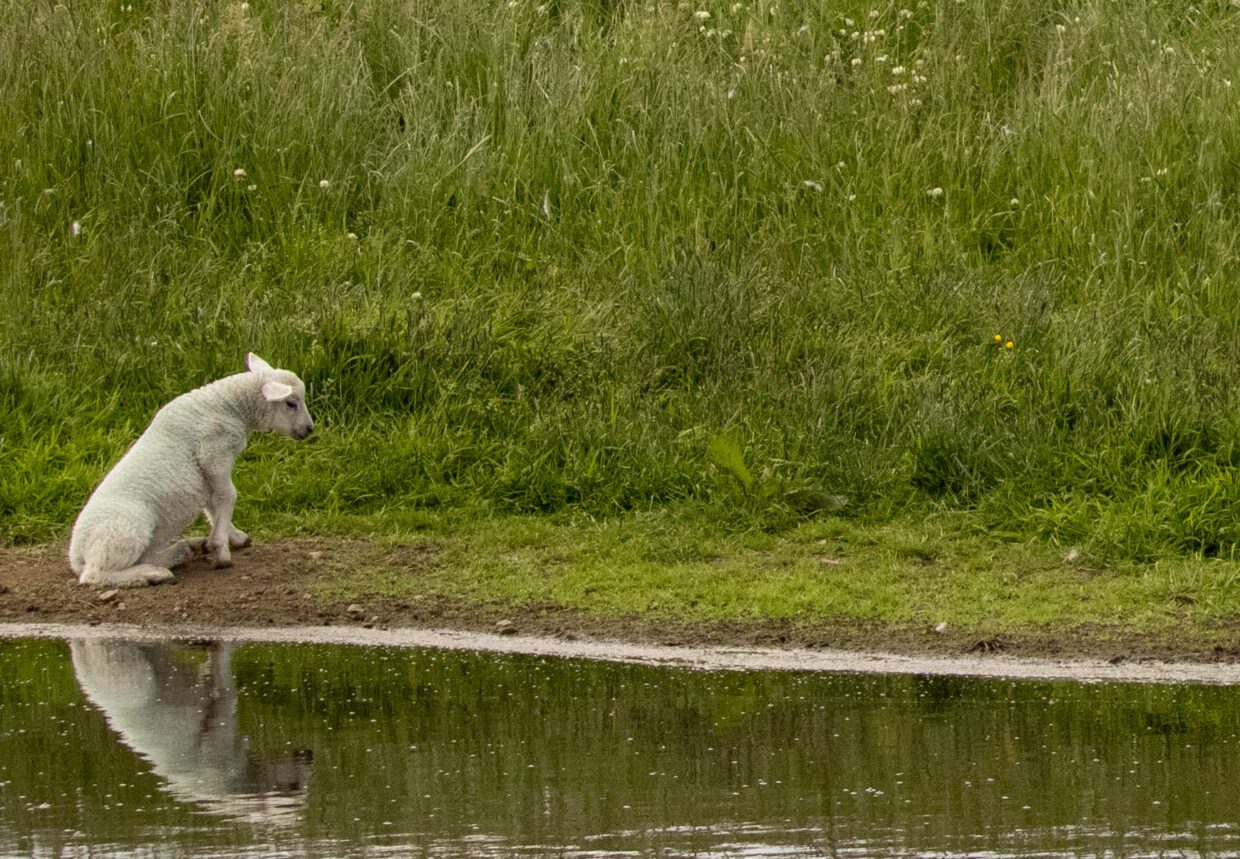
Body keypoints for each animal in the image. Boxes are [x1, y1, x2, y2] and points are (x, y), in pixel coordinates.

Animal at [68, 353, 314, 588]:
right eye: (291, 403)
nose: (310, 429)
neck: (230, 408)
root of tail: (76, 556)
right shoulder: (213, 453)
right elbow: (228, 496)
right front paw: (221, 550)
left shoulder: (206, 472)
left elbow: (213, 504)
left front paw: (231, 537)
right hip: (124, 532)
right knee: (96, 575)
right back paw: (155, 574)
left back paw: (185, 550)